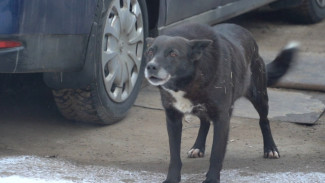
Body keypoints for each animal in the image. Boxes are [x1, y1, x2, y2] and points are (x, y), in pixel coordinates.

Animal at [143, 23, 298, 183]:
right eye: (150, 52)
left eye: (173, 54)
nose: (151, 67)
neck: (188, 81)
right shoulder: (172, 118)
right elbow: (174, 155)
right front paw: (172, 178)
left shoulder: (222, 118)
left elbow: (216, 154)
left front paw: (211, 179)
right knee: (204, 122)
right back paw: (198, 147)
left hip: (259, 96)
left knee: (264, 120)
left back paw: (270, 148)